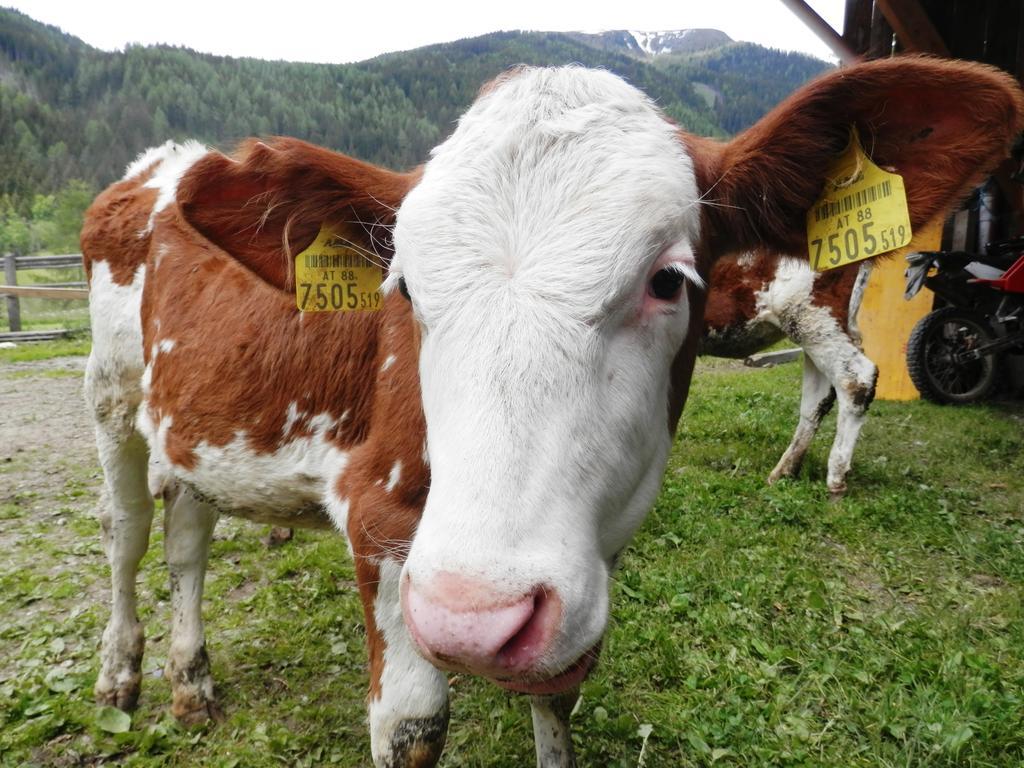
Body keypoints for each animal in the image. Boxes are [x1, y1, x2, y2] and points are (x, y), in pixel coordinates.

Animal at [81, 57, 1024, 765]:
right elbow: (411, 726)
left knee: (188, 539)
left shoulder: (575, 570)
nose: (472, 614)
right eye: (404, 286)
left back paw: (191, 681)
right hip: (111, 398)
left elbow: (558, 694)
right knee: (129, 532)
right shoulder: (383, 527)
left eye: (668, 279)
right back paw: (121, 673)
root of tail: (158, 167)